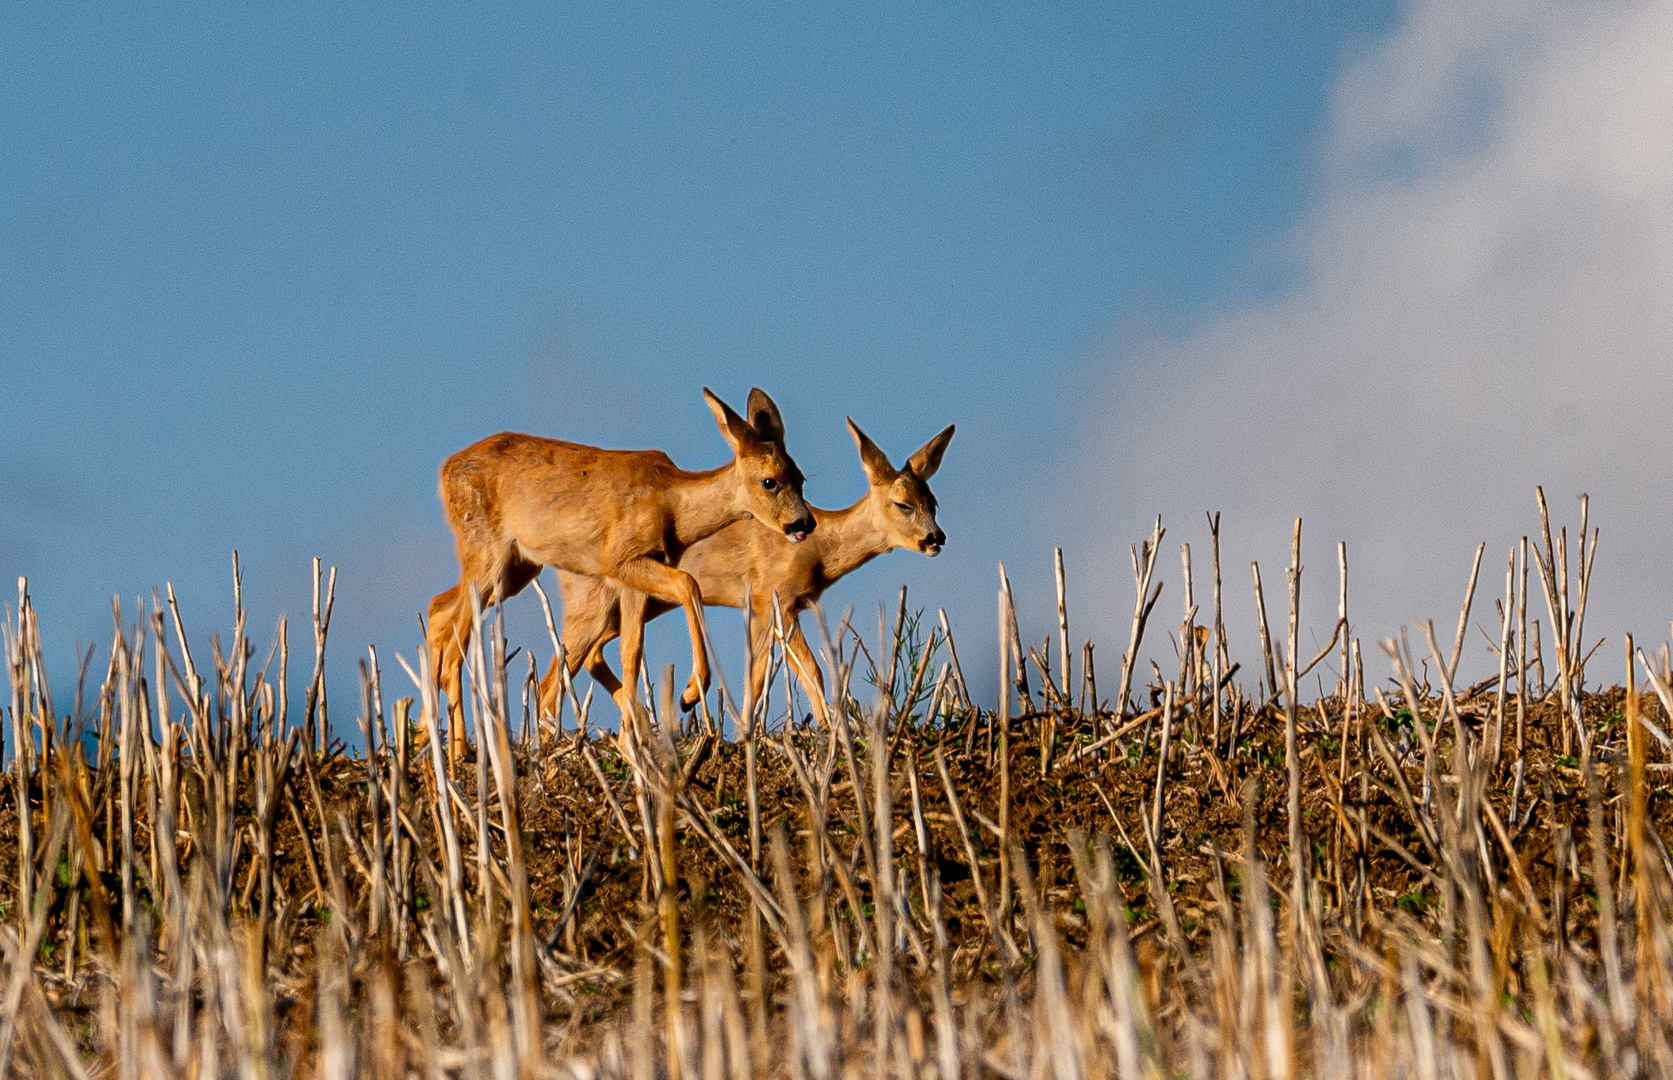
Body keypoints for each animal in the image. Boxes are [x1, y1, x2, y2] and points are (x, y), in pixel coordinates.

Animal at [428, 384, 813, 759]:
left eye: (801, 477)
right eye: (769, 481)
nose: (804, 523)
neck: (671, 506)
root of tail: (445, 471)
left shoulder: (632, 578)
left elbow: (632, 651)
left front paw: (635, 739)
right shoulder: (621, 558)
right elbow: (689, 584)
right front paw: (689, 693)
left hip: (516, 567)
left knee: (440, 610)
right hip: (487, 549)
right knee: (455, 640)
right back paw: (461, 752)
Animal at [548, 421, 956, 728]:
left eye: (933, 503)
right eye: (903, 504)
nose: (936, 538)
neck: (817, 550)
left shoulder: (771, 608)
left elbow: (763, 677)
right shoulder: (773, 599)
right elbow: (806, 670)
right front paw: (825, 730)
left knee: (588, 658)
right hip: (592, 604)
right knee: (553, 678)